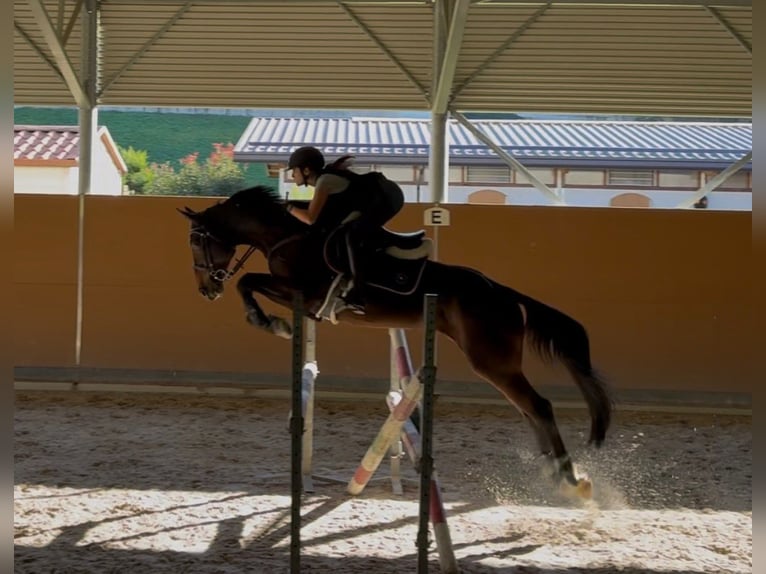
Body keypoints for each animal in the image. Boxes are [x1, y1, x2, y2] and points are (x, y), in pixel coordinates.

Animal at [178, 185, 613, 497]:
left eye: (196, 243)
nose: (205, 289)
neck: (286, 238)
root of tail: (503, 293)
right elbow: (250, 284)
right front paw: (272, 322)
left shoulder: (305, 294)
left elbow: (249, 283)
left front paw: (271, 323)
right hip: (496, 363)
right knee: (529, 409)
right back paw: (556, 473)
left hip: (492, 360)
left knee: (538, 406)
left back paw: (570, 478)